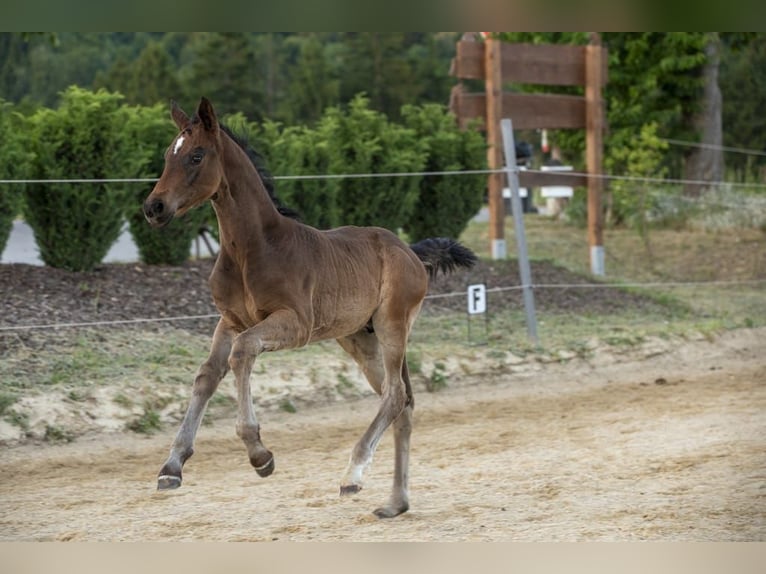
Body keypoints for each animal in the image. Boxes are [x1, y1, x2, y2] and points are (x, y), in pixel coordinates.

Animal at [143, 97, 477, 518]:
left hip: (392, 325)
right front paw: (171, 467)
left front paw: (259, 454)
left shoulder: (295, 323)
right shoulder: (230, 320)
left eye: (196, 155)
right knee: (402, 401)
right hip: (359, 338)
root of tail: (409, 251)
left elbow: (242, 354)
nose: (153, 207)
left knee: (395, 395)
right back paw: (395, 503)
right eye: (167, 156)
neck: (252, 249)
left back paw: (353, 474)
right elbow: (207, 375)